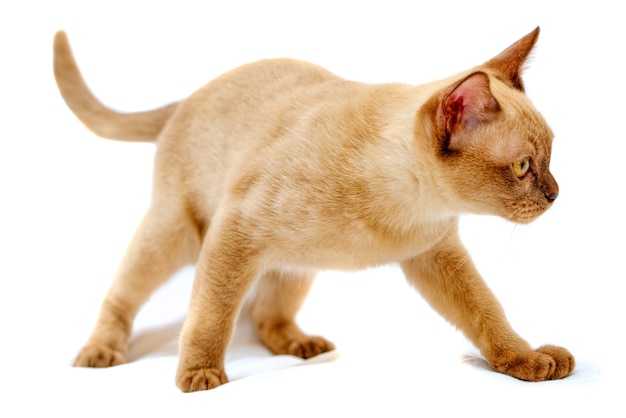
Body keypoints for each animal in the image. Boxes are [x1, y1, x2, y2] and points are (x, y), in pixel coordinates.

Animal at [53, 27, 572, 392]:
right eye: (523, 167)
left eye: (550, 155)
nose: (555, 194)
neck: (403, 207)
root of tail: (187, 98)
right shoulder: (234, 234)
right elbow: (210, 317)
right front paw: (200, 376)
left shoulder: (437, 256)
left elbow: (487, 312)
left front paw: (527, 360)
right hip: (173, 236)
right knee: (122, 295)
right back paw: (99, 352)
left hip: (295, 266)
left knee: (269, 316)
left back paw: (302, 345)